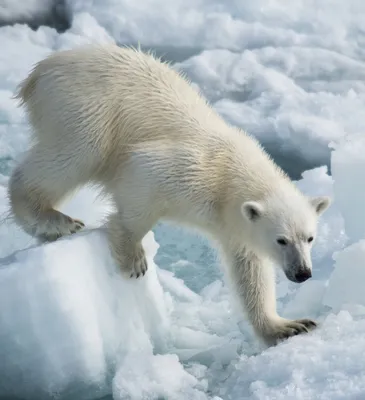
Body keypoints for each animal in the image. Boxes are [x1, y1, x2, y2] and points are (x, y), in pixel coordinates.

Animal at [7, 43, 330, 344]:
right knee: (76, 152)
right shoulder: (185, 169)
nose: (303, 273)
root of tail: (42, 69)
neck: (229, 176)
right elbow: (140, 181)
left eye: (310, 238)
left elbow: (250, 272)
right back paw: (53, 220)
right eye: (281, 240)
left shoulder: (234, 226)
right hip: (84, 107)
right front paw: (133, 256)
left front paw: (288, 326)